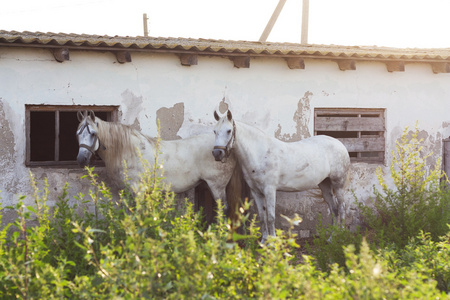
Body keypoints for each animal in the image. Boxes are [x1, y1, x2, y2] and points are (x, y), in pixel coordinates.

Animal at [77, 109, 239, 211]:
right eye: (77, 133)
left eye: (93, 133)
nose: (81, 159)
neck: (129, 150)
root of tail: (223, 149)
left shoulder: (138, 189)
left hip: (217, 185)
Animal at [212, 111, 352, 243]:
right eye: (214, 131)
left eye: (229, 130)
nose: (217, 153)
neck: (260, 153)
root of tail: (339, 143)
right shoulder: (256, 192)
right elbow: (262, 217)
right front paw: (264, 242)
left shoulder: (270, 190)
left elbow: (270, 217)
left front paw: (272, 242)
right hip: (325, 184)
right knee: (333, 209)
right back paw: (331, 238)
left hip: (338, 183)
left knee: (341, 207)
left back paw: (341, 236)